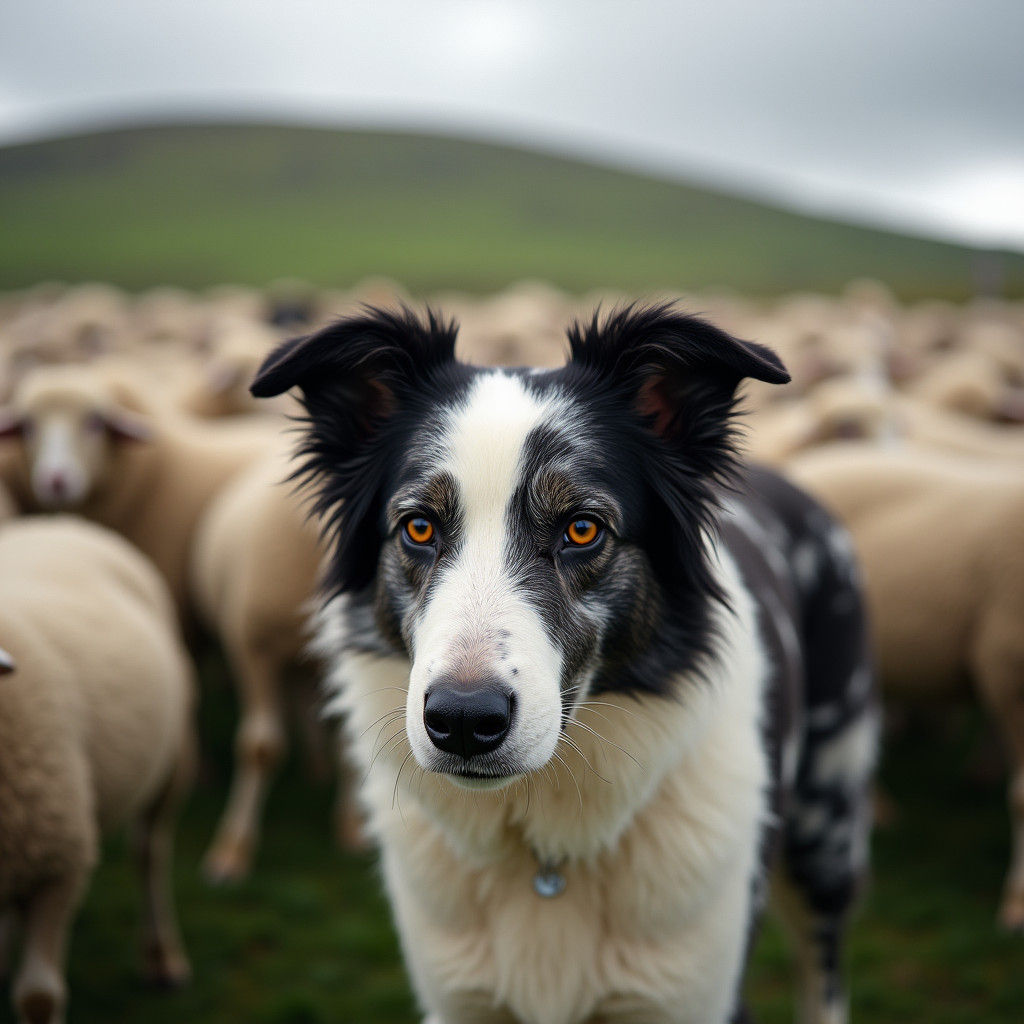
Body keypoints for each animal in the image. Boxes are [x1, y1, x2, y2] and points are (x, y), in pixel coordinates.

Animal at [0, 516, 195, 1023]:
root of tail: (63, 522)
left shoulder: (57, 864)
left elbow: (38, 997)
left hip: (171, 759)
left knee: (150, 853)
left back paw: (162, 958)